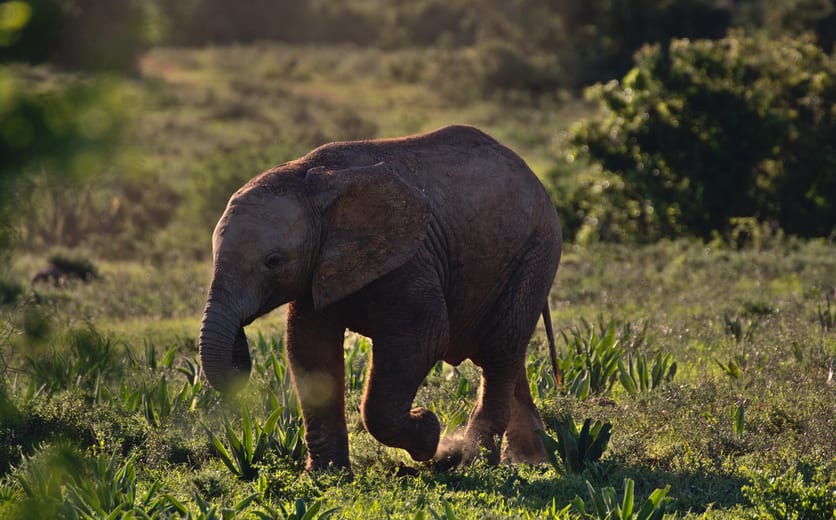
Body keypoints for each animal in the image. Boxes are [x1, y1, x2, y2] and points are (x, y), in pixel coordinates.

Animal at [199, 124, 561, 472]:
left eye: (273, 261)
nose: (240, 348)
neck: (312, 179)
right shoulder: (320, 267)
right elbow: (309, 348)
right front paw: (324, 476)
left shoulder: (410, 259)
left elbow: (424, 338)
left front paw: (429, 434)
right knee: (503, 356)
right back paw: (530, 461)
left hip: (536, 253)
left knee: (500, 348)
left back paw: (475, 464)